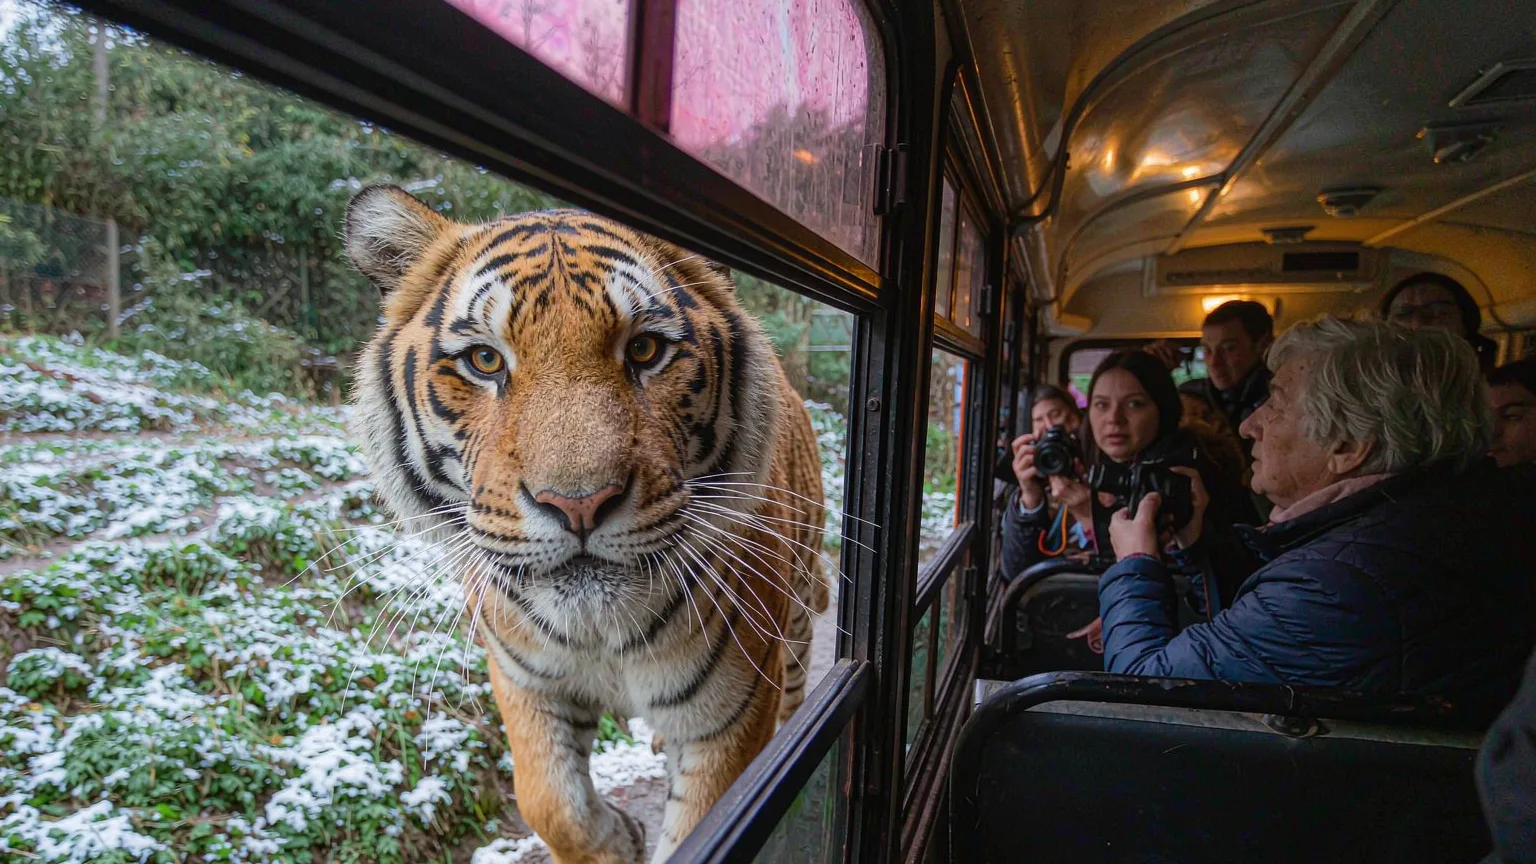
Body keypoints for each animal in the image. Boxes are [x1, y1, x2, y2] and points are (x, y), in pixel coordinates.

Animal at [343, 184, 831, 864]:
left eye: (645, 350)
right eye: (485, 360)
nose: (578, 504)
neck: (601, 633)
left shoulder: (727, 717)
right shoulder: (525, 681)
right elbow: (548, 800)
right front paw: (618, 840)